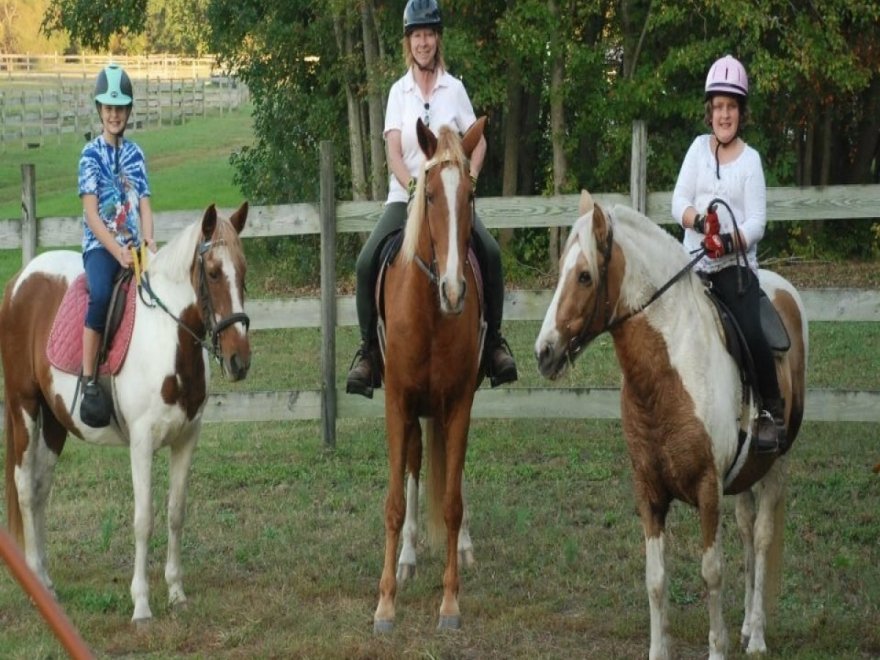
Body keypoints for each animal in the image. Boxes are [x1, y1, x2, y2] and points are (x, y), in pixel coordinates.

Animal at [3, 202, 251, 624]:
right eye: (214, 273)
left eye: (244, 271)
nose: (239, 361)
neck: (169, 340)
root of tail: (22, 278)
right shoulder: (141, 442)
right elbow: (143, 519)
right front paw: (142, 606)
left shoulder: (187, 438)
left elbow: (175, 512)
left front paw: (176, 593)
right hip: (25, 405)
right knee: (23, 485)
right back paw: (37, 582)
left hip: (55, 421)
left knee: (40, 488)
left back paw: (47, 584)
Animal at [532, 189, 808, 656]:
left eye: (585, 276)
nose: (544, 353)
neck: (667, 376)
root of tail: (784, 291)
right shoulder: (649, 491)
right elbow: (656, 579)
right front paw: (659, 649)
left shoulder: (707, 489)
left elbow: (711, 572)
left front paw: (717, 648)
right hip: (746, 474)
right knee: (748, 533)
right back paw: (747, 627)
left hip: (777, 463)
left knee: (763, 537)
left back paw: (756, 635)